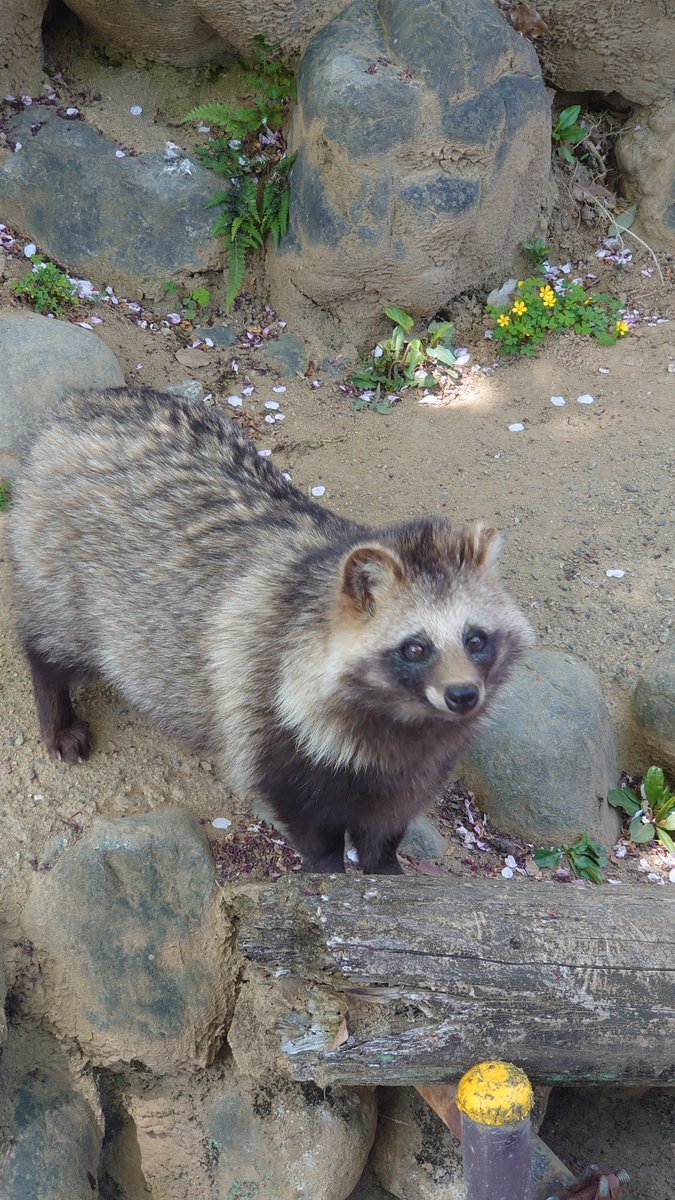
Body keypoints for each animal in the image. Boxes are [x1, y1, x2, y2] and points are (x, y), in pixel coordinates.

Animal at [5, 391, 530, 873]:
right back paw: (55, 705)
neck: (400, 720)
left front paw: (386, 868)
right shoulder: (266, 710)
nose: (463, 695)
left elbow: (388, 820)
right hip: (61, 565)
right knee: (53, 638)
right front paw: (329, 871)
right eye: (415, 647)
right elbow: (306, 821)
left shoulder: (420, 762)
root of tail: (87, 402)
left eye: (476, 639)